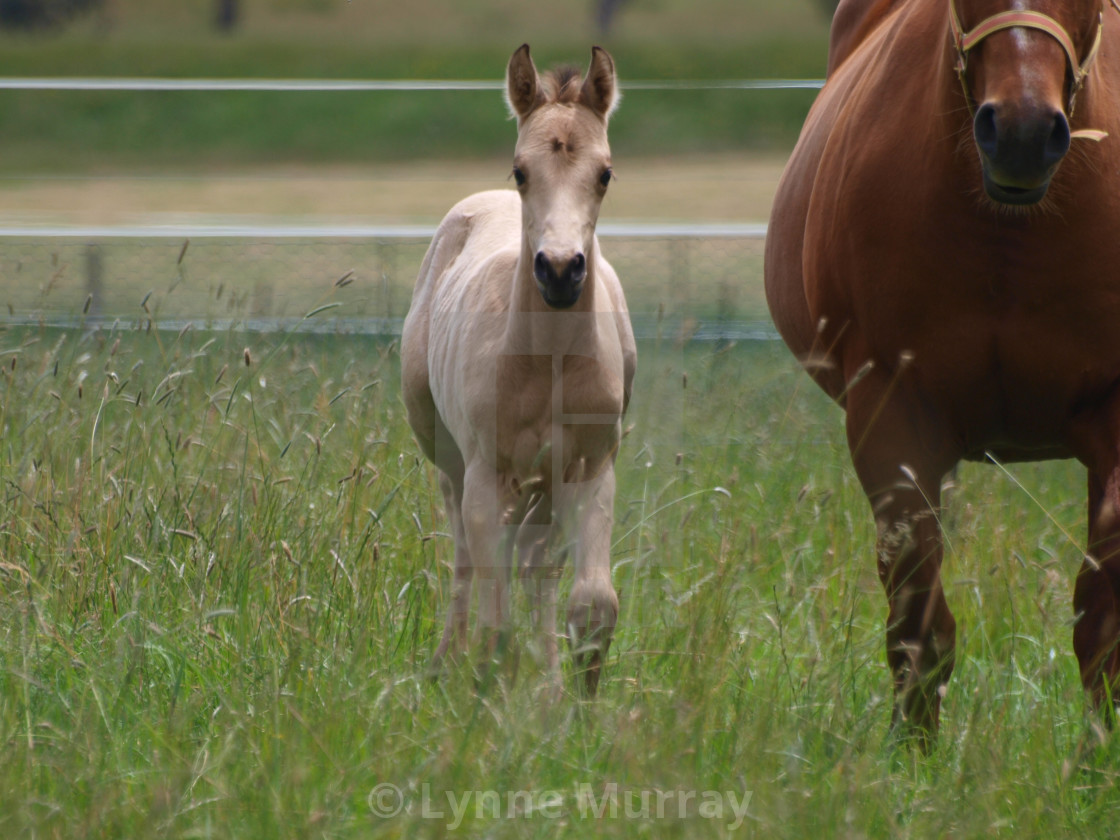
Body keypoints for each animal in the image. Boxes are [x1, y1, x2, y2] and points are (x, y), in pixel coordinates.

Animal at [398, 44, 636, 698]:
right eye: (521, 171)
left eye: (605, 174)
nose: (558, 271)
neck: (548, 363)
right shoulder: (487, 475)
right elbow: (494, 616)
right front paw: (488, 697)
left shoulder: (592, 468)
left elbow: (593, 602)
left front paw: (575, 701)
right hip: (452, 461)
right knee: (466, 559)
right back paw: (443, 664)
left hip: (544, 486)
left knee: (537, 565)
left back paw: (547, 679)